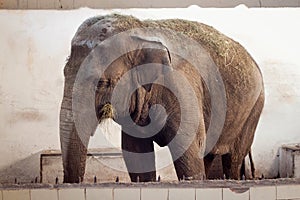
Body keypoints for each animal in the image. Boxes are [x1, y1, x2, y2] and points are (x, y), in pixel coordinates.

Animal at [59, 14, 264, 183]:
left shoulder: (183, 87)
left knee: (234, 158)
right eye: (64, 73)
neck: (142, 31)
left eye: (102, 83)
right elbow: (135, 152)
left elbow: (188, 150)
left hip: (253, 109)